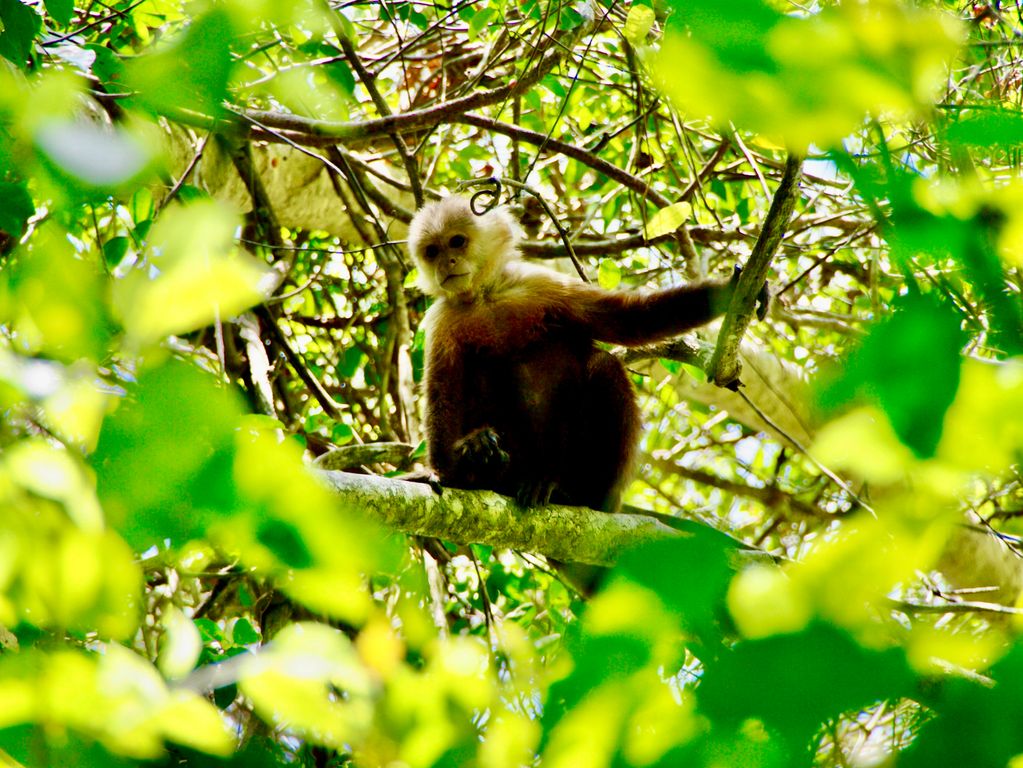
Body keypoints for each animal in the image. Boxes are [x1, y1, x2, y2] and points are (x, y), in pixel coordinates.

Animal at [407, 195, 761, 513]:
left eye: (456, 242)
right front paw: (448, 471)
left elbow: (627, 321)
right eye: (432, 252)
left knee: (604, 366)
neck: (485, 297)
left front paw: (731, 290)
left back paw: (581, 494)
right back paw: (482, 463)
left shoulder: (538, 283)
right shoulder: (443, 319)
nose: (446, 263)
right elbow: (442, 396)